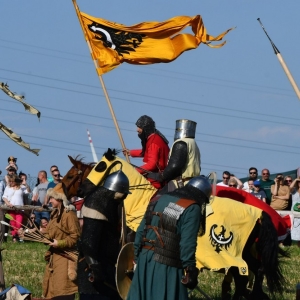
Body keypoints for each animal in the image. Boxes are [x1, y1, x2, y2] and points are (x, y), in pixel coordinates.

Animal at [54, 150, 288, 300]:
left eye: (73, 174)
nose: (78, 192)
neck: (138, 202)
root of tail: (261, 212)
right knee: (251, 272)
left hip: (240, 253)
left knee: (250, 272)